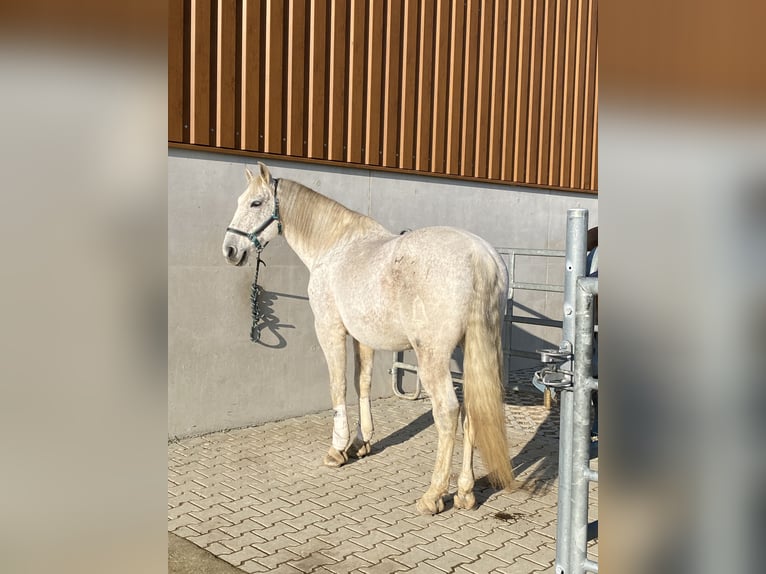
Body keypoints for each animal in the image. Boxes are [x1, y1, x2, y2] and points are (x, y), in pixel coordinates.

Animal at [222, 163, 515, 515]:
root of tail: (479, 255)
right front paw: (361, 444)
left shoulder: (330, 328)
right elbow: (362, 383)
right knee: (472, 413)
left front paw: (337, 450)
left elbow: (338, 385)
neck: (333, 246)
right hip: (473, 353)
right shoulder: (363, 337)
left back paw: (433, 495)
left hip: (432, 357)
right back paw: (465, 493)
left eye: (256, 203)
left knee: (447, 413)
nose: (230, 250)